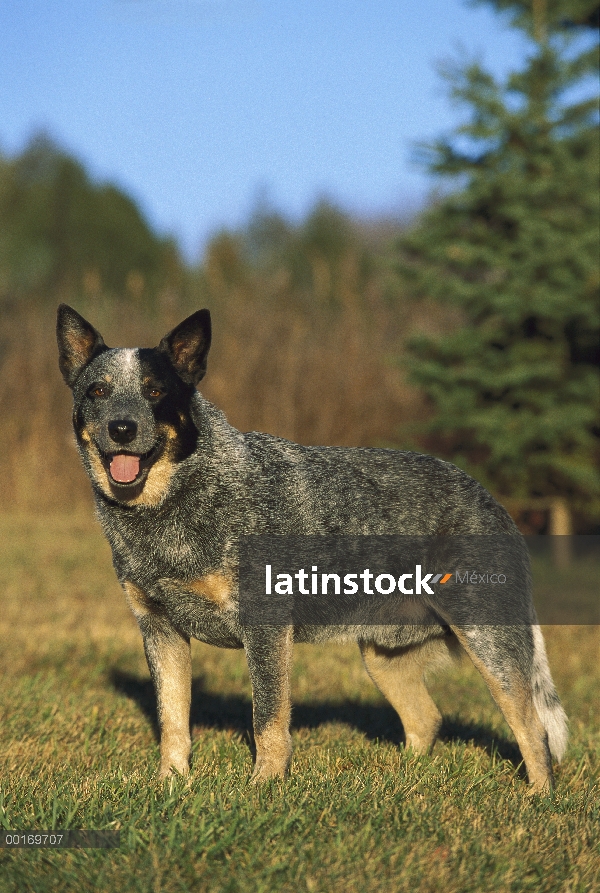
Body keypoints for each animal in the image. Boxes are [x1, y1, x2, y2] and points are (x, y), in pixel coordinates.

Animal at [56, 304, 568, 792]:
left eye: (155, 391)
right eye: (97, 391)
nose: (122, 428)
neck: (174, 501)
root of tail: (493, 501)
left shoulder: (264, 628)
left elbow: (267, 721)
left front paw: (263, 787)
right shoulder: (159, 629)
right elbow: (172, 721)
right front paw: (170, 784)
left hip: (488, 641)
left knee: (532, 728)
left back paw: (538, 799)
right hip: (383, 656)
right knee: (427, 718)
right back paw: (400, 779)